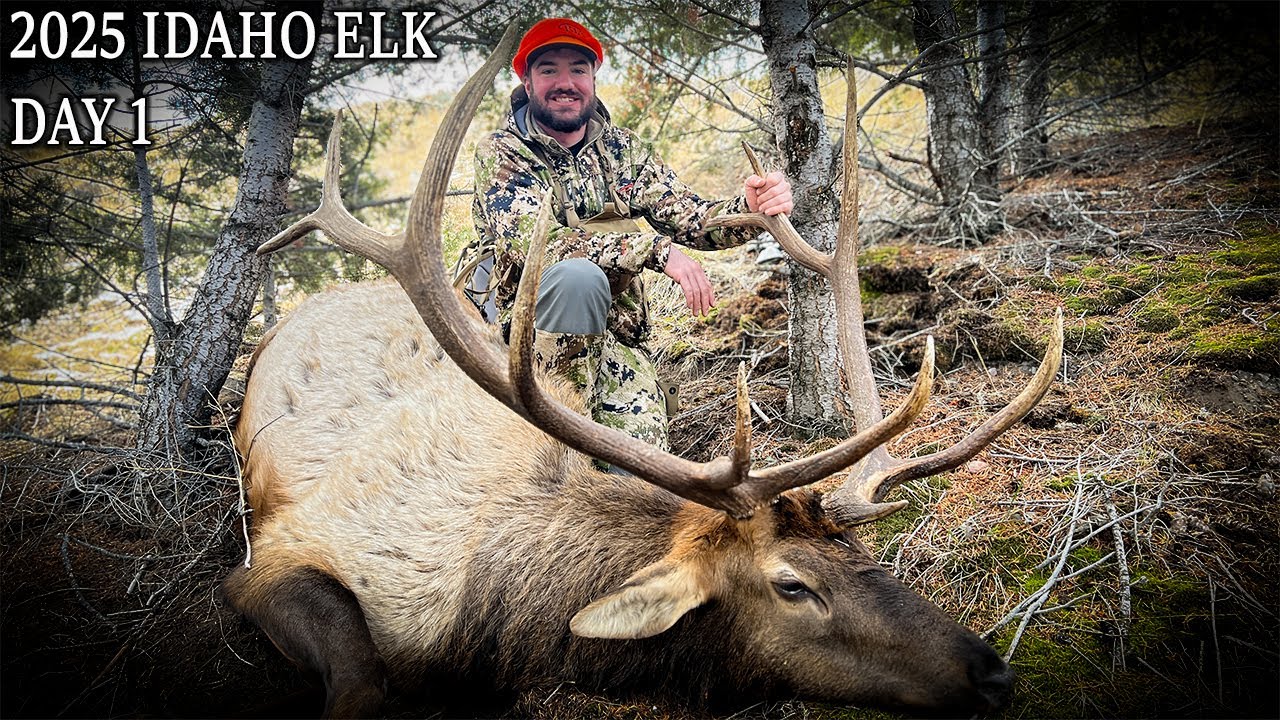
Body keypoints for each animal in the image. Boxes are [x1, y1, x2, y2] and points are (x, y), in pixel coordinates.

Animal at [223, 22, 1064, 719]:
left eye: (862, 554)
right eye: (792, 584)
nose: (994, 673)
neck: (489, 618)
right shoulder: (282, 558)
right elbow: (360, 682)